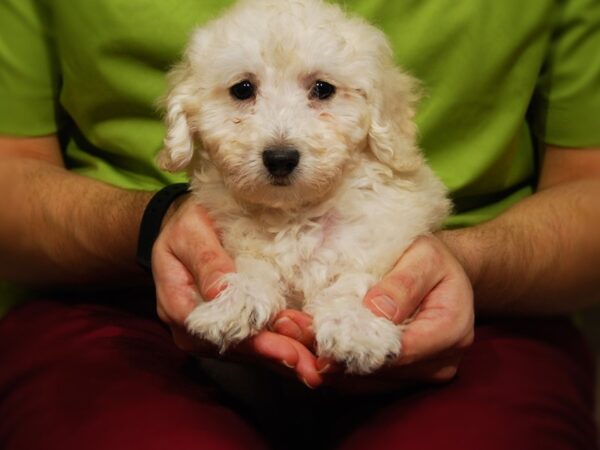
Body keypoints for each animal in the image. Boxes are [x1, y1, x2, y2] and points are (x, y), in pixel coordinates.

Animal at [158, 0, 450, 374]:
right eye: (243, 89)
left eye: (323, 89)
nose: (280, 158)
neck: (295, 214)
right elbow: (252, 264)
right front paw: (235, 302)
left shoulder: (380, 238)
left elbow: (354, 279)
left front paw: (353, 326)